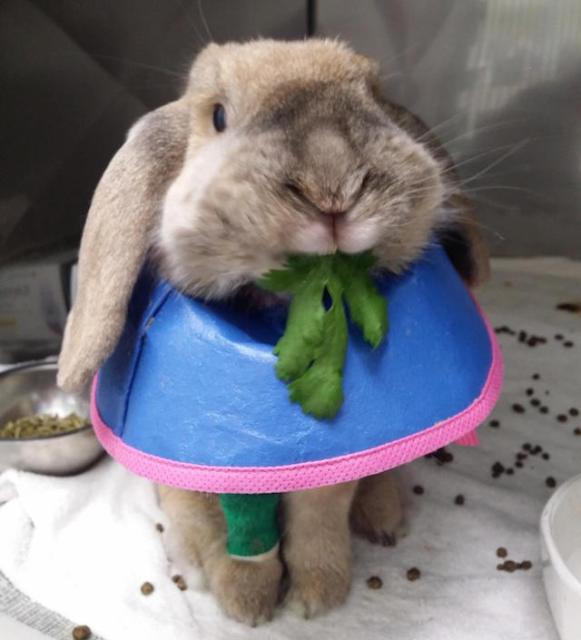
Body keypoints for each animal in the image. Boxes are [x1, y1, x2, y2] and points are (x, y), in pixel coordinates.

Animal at [57, 38, 484, 624]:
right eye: (217, 116)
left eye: (375, 96)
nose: (333, 188)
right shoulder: (204, 478)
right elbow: (222, 529)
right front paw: (246, 603)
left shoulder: (325, 474)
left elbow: (317, 522)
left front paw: (316, 598)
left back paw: (385, 520)